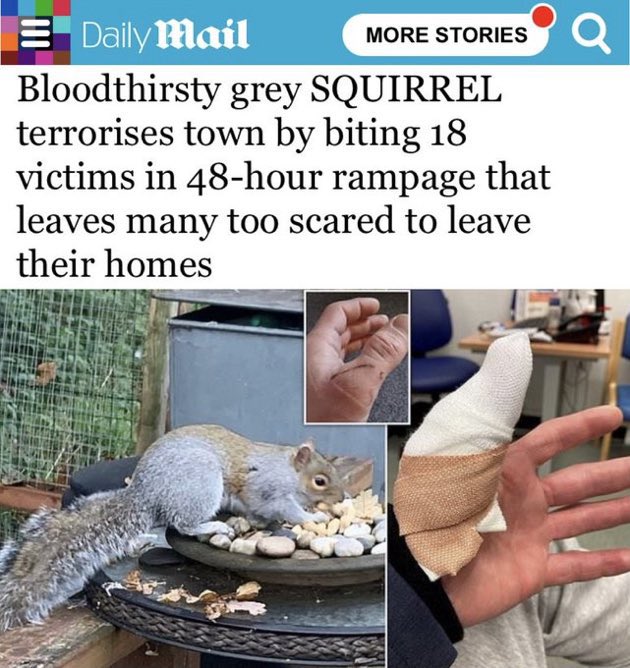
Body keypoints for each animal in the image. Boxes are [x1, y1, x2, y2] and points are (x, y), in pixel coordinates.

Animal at [0, 424, 344, 632]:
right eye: (320, 480)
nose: (343, 497)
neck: (287, 470)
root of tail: (146, 493)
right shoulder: (268, 489)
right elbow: (284, 508)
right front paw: (313, 518)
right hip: (200, 484)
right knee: (184, 523)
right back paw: (213, 524)